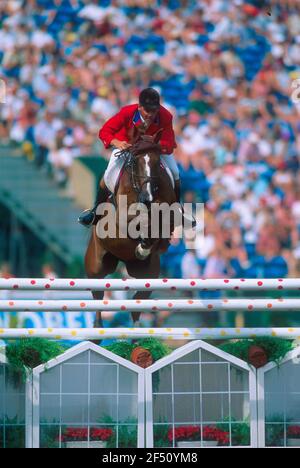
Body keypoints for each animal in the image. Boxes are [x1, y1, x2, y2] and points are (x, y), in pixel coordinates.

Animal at [84, 133, 177, 328]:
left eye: (158, 161)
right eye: (135, 161)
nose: (148, 197)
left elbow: (159, 224)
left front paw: (145, 247)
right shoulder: (122, 217)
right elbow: (138, 221)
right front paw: (142, 243)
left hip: (148, 273)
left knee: (138, 300)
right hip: (96, 267)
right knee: (98, 295)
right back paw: (98, 328)